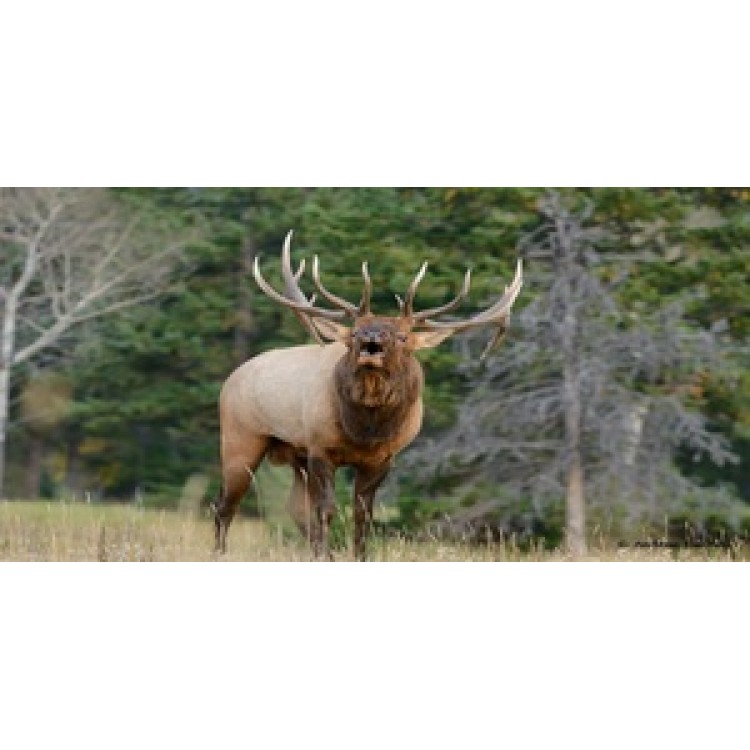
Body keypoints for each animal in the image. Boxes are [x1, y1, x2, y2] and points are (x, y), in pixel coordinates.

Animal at [212, 231, 523, 560]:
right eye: (354, 332)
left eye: (402, 336)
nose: (370, 339)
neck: (365, 431)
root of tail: (232, 377)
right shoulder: (320, 448)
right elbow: (327, 511)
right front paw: (328, 553)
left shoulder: (382, 459)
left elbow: (363, 516)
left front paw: (356, 556)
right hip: (241, 438)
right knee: (225, 505)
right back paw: (220, 553)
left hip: (295, 455)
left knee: (294, 508)